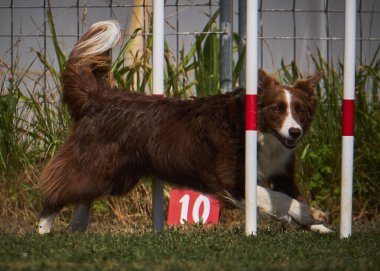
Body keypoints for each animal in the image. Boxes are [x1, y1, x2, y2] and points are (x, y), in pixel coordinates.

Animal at [37, 20, 332, 234]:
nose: (295, 132)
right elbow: (276, 198)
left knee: (83, 193)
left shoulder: (282, 174)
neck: (263, 137)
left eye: (300, 110)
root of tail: (99, 96)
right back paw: (43, 230)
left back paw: (77, 226)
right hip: (98, 163)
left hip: (116, 174)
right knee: (58, 187)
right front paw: (313, 214)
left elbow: (289, 196)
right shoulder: (231, 181)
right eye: (277, 109)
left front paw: (318, 225)